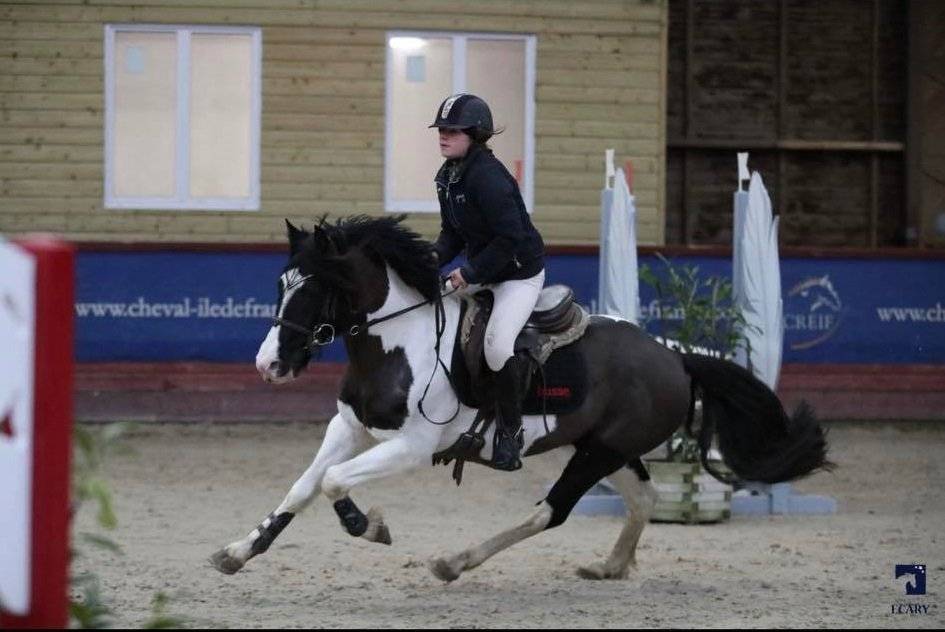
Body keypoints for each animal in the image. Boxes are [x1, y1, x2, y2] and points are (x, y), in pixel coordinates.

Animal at [209, 214, 832, 582]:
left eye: (316, 288)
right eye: (280, 284)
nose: (268, 365)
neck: (395, 342)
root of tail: (674, 357)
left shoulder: (411, 447)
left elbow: (336, 484)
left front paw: (369, 525)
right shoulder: (349, 429)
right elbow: (303, 487)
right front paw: (238, 552)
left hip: (598, 452)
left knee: (551, 512)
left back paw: (455, 561)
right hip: (608, 447)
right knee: (643, 499)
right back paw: (610, 566)